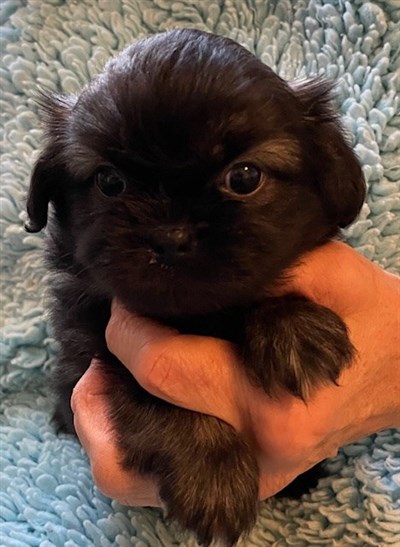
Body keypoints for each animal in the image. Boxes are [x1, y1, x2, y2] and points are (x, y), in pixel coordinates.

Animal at [26, 29, 365, 546]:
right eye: (109, 181)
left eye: (244, 177)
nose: (171, 236)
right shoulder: (94, 343)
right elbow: (152, 391)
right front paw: (213, 473)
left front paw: (293, 330)